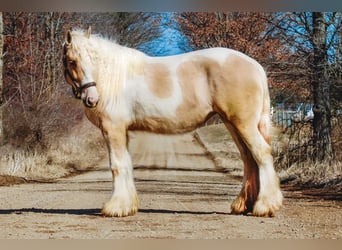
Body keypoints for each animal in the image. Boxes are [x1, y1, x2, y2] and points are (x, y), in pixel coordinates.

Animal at [62, 27, 282, 217]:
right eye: (72, 62)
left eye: (93, 59)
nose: (92, 99)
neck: (112, 78)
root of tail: (256, 67)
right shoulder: (122, 131)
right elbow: (127, 163)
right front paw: (128, 206)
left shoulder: (113, 129)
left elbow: (117, 165)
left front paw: (115, 208)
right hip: (233, 124)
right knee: (249, 158)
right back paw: (243, 205)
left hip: (243, 124)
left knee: (261, 153)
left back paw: (265, 206)